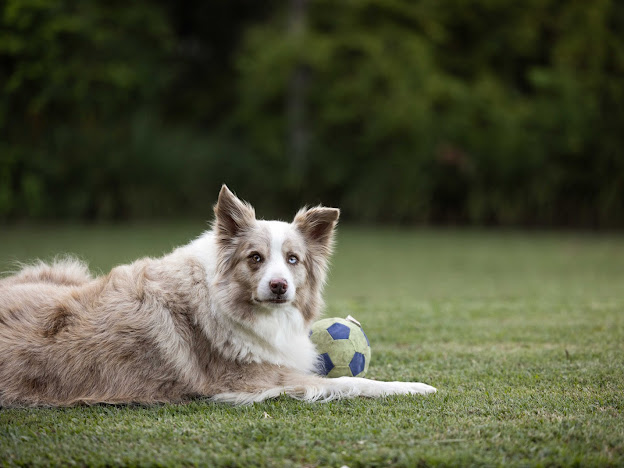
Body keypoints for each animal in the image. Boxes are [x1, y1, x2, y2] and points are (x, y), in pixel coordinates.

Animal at [0, 186, 436, 406]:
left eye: (292, 259)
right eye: (255, 258)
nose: (279, 286)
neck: (229, 302)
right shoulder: (251, 381)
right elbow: (350, 382)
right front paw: (414, 387)